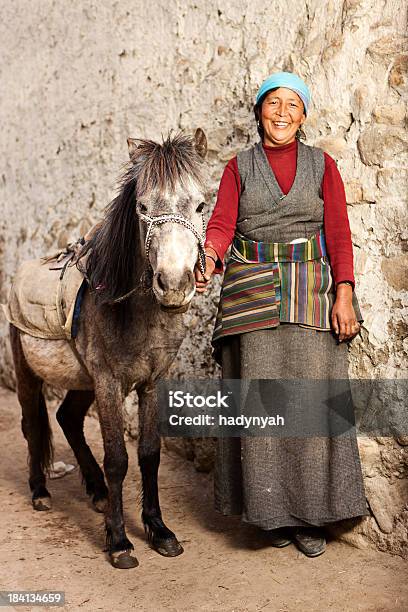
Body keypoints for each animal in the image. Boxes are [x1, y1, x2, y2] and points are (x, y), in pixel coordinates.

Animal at [8, 129, 209, 568]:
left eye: (201, 204)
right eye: (143, 208)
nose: (173, 286)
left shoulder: (151, 383)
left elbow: (149, 454)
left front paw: (159, 531)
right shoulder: (109, 383)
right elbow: (118, 459)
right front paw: (119, 541)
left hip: (82, 382)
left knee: (67, 418)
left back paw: (97, 492)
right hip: (29, 372)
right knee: (33, 424)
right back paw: (40, 491)